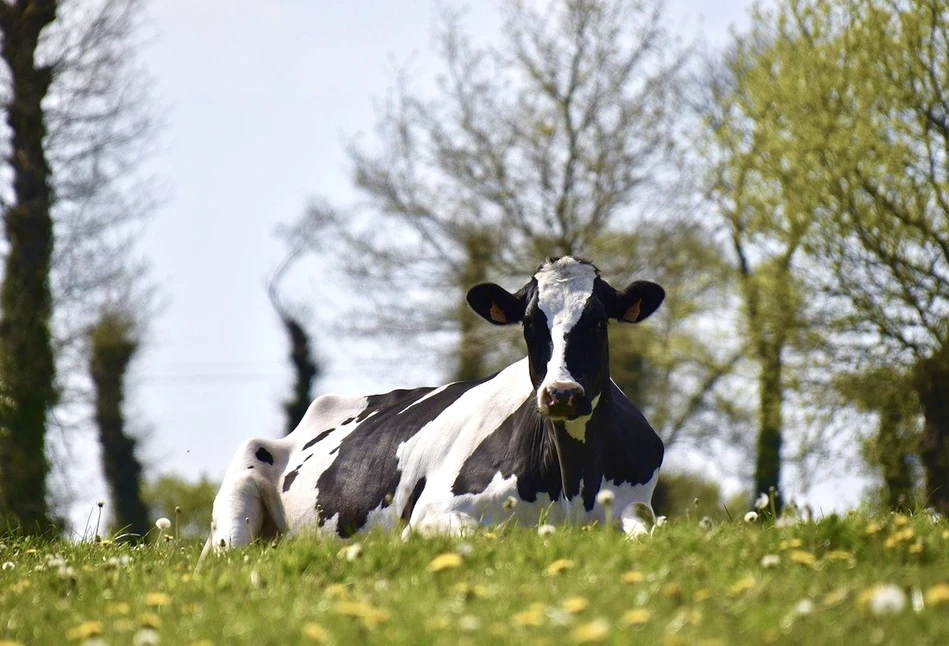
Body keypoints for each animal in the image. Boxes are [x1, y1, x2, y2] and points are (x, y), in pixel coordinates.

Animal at [206, 256, 668, 556]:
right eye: (530, 323)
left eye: (598, 321)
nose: (562, 393)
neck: (575, 480)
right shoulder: (433, 514)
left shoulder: (636, 505)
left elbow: (651, 530)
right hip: (236, 501)